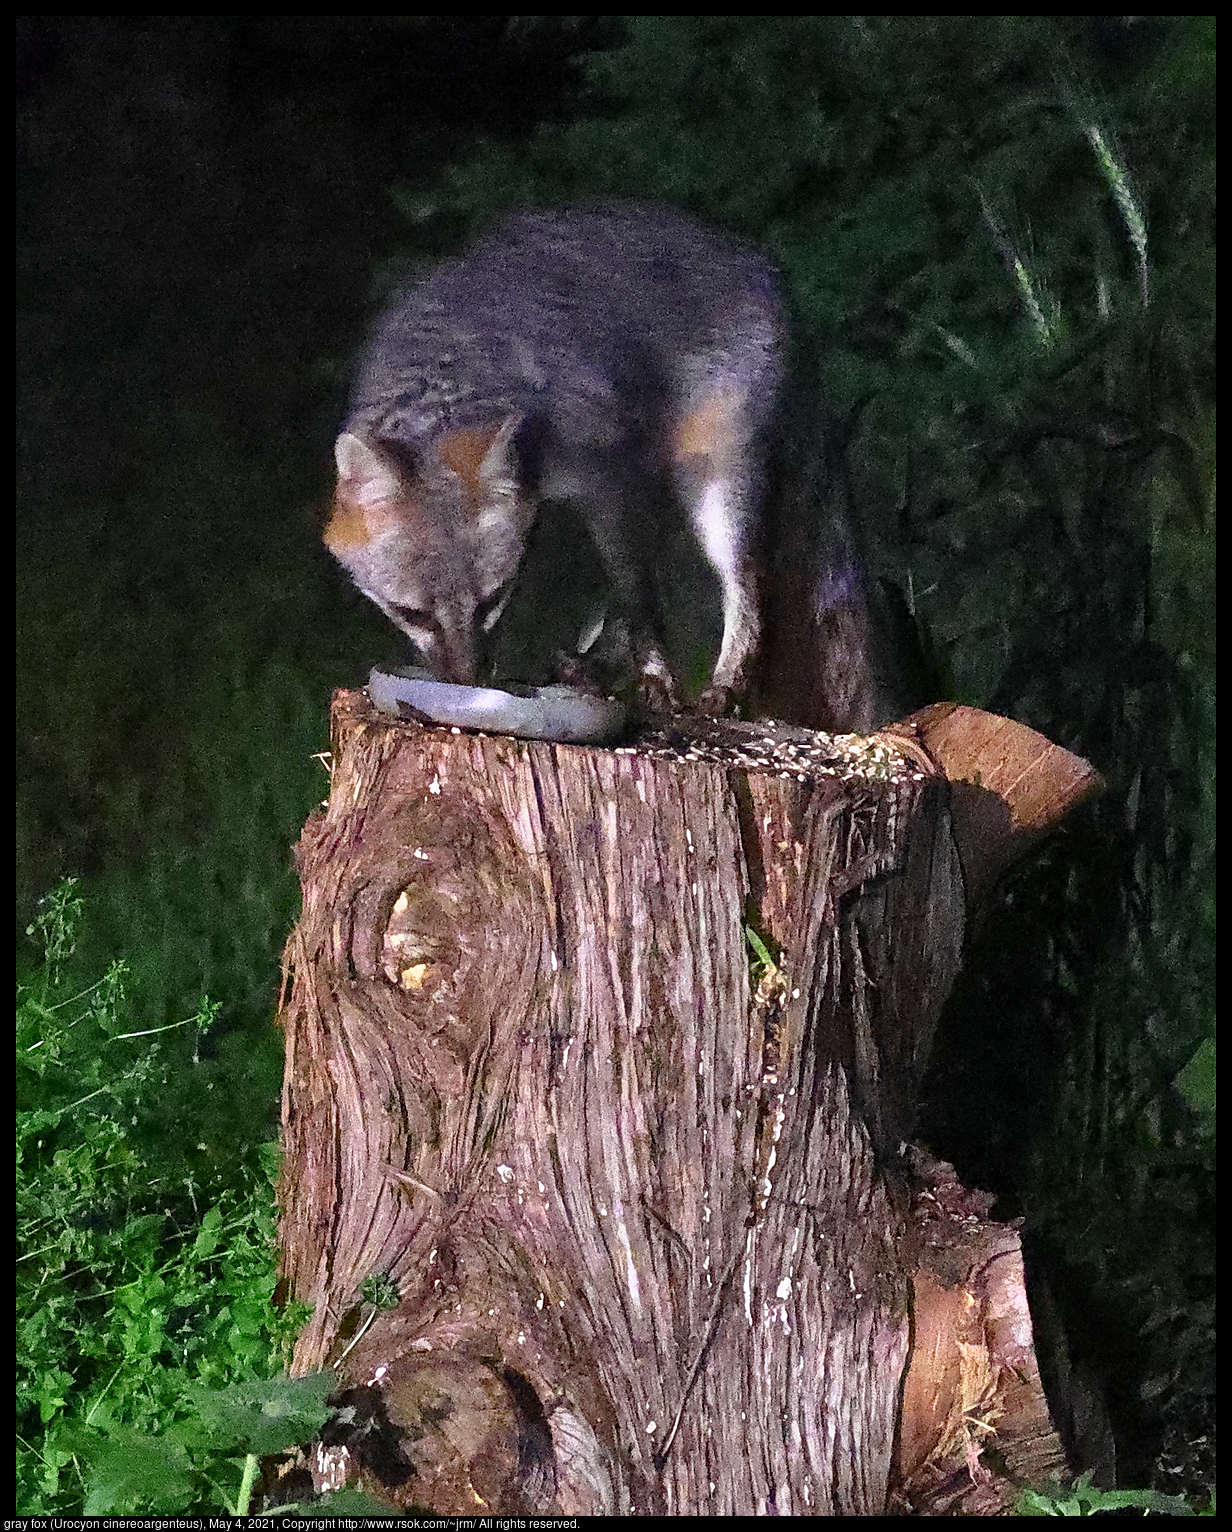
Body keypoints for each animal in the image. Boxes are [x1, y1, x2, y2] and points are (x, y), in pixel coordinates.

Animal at [327, 205, 784, 710]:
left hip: (713, 487)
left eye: (491, 600)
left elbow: (636, 597)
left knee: (744, 589)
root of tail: (743, 251)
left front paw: (655, 675)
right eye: (411, 614)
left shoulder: (607, 481)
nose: (465, 687)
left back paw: (724, 682)